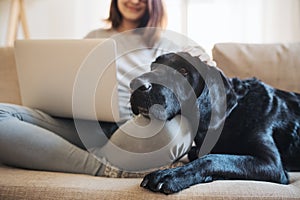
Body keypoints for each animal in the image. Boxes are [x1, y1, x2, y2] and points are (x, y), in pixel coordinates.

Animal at [130, 51, 300, 194]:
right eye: (153, 66)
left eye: (184, 71)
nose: (136, 84)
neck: (232, 114)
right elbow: (202, 154)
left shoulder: (271, 163)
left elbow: (212, 158)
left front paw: (169, 176)